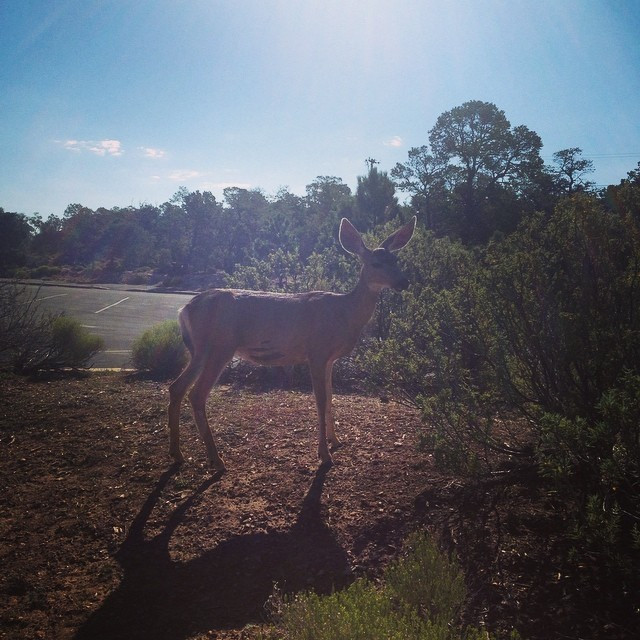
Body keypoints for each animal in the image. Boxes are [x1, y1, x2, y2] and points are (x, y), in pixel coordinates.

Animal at [166, 218, 416, 472]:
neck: (344, 313)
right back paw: (216, 460)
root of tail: (183, 309)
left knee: (176, 387)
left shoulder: (329, 359)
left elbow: (331, 397)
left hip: (199, 351)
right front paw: (325, 455)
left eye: (396, 260)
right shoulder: (316, 352)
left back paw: (178, 454)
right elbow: (320, 401)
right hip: (220, 346)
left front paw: (336, 441)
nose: (404, 282)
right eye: (376, 263)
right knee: (196, 394)